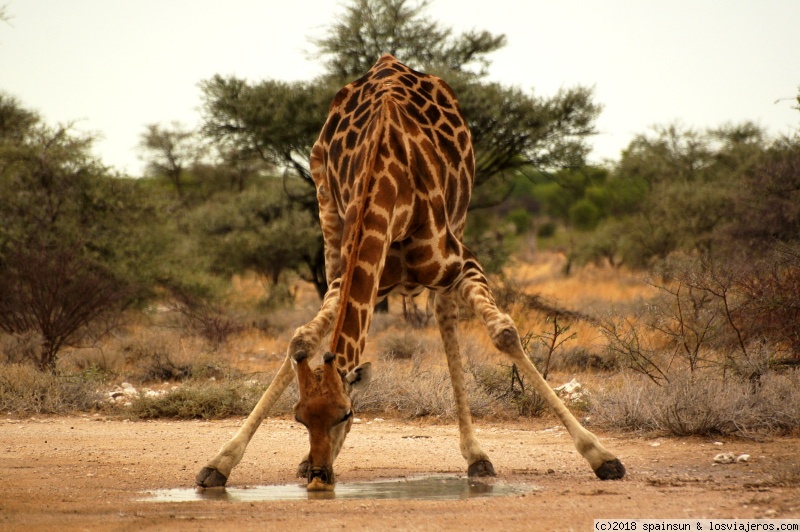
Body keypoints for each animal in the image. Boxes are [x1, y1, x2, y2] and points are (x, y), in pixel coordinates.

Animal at [194, 54, 624, 490]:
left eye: (345, 414)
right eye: (299, 418)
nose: (318, 476)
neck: (390, 194)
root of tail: (388, 61)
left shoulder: (463, 262)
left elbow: (504, 332)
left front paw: (601, 456)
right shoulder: (349, 273)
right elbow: (302, 338)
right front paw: (221, 461)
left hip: (459, 217)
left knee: (445, 314)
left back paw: (476, 456)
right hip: (327, 218)